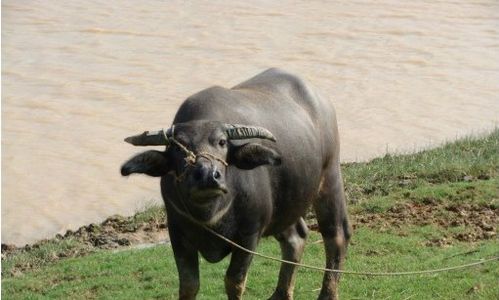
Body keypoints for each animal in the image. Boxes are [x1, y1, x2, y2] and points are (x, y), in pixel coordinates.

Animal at [122, 68, 352, 300]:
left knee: (337, 236)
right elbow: (188, 284)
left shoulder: (250, 234)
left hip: (330, 178)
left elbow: (234, 281)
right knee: (296, 237)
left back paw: (327, 293)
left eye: (222, 142)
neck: (210, 213)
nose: (207, 175)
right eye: (179, 148)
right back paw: (280, 293)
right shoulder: (177, 233)